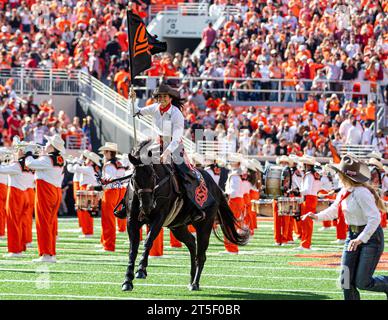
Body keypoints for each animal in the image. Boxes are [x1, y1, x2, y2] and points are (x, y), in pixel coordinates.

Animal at [121, 141, 249, 292]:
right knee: (192, 244)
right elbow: (132, 249)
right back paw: (191, 279)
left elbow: (148, 241)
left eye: (152, 175)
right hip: (178, 227)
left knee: (201, 255)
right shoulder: (132, 222)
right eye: (135, 177)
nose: (147, 206)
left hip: (204, 227)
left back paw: (195, 283)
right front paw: (127, 280)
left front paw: (141, 269)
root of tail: (215, 186)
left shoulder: (158, 219)